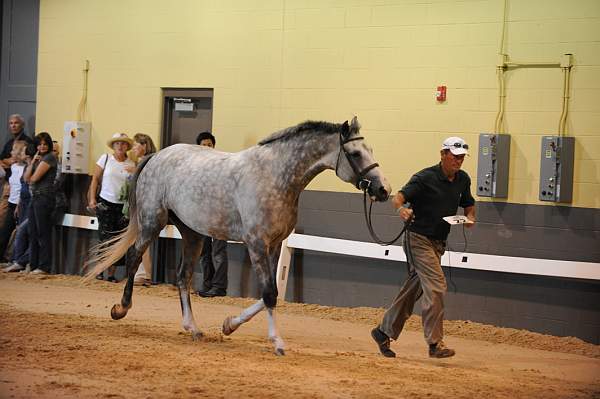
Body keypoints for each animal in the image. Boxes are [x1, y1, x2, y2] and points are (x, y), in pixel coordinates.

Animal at [86, 118, 392, 356]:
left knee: (183, 276)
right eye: (355, 153)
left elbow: (271, 293)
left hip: (193, 234)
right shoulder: (256, 243)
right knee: (134, 257)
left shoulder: (274, 245)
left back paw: (193, 328)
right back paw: (120, 309)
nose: (383, 190)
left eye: (370, 149)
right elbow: (269, 294)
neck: (276, 176)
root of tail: (156, 156)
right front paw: (277, 342)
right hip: (152, 222)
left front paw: (229, 325)